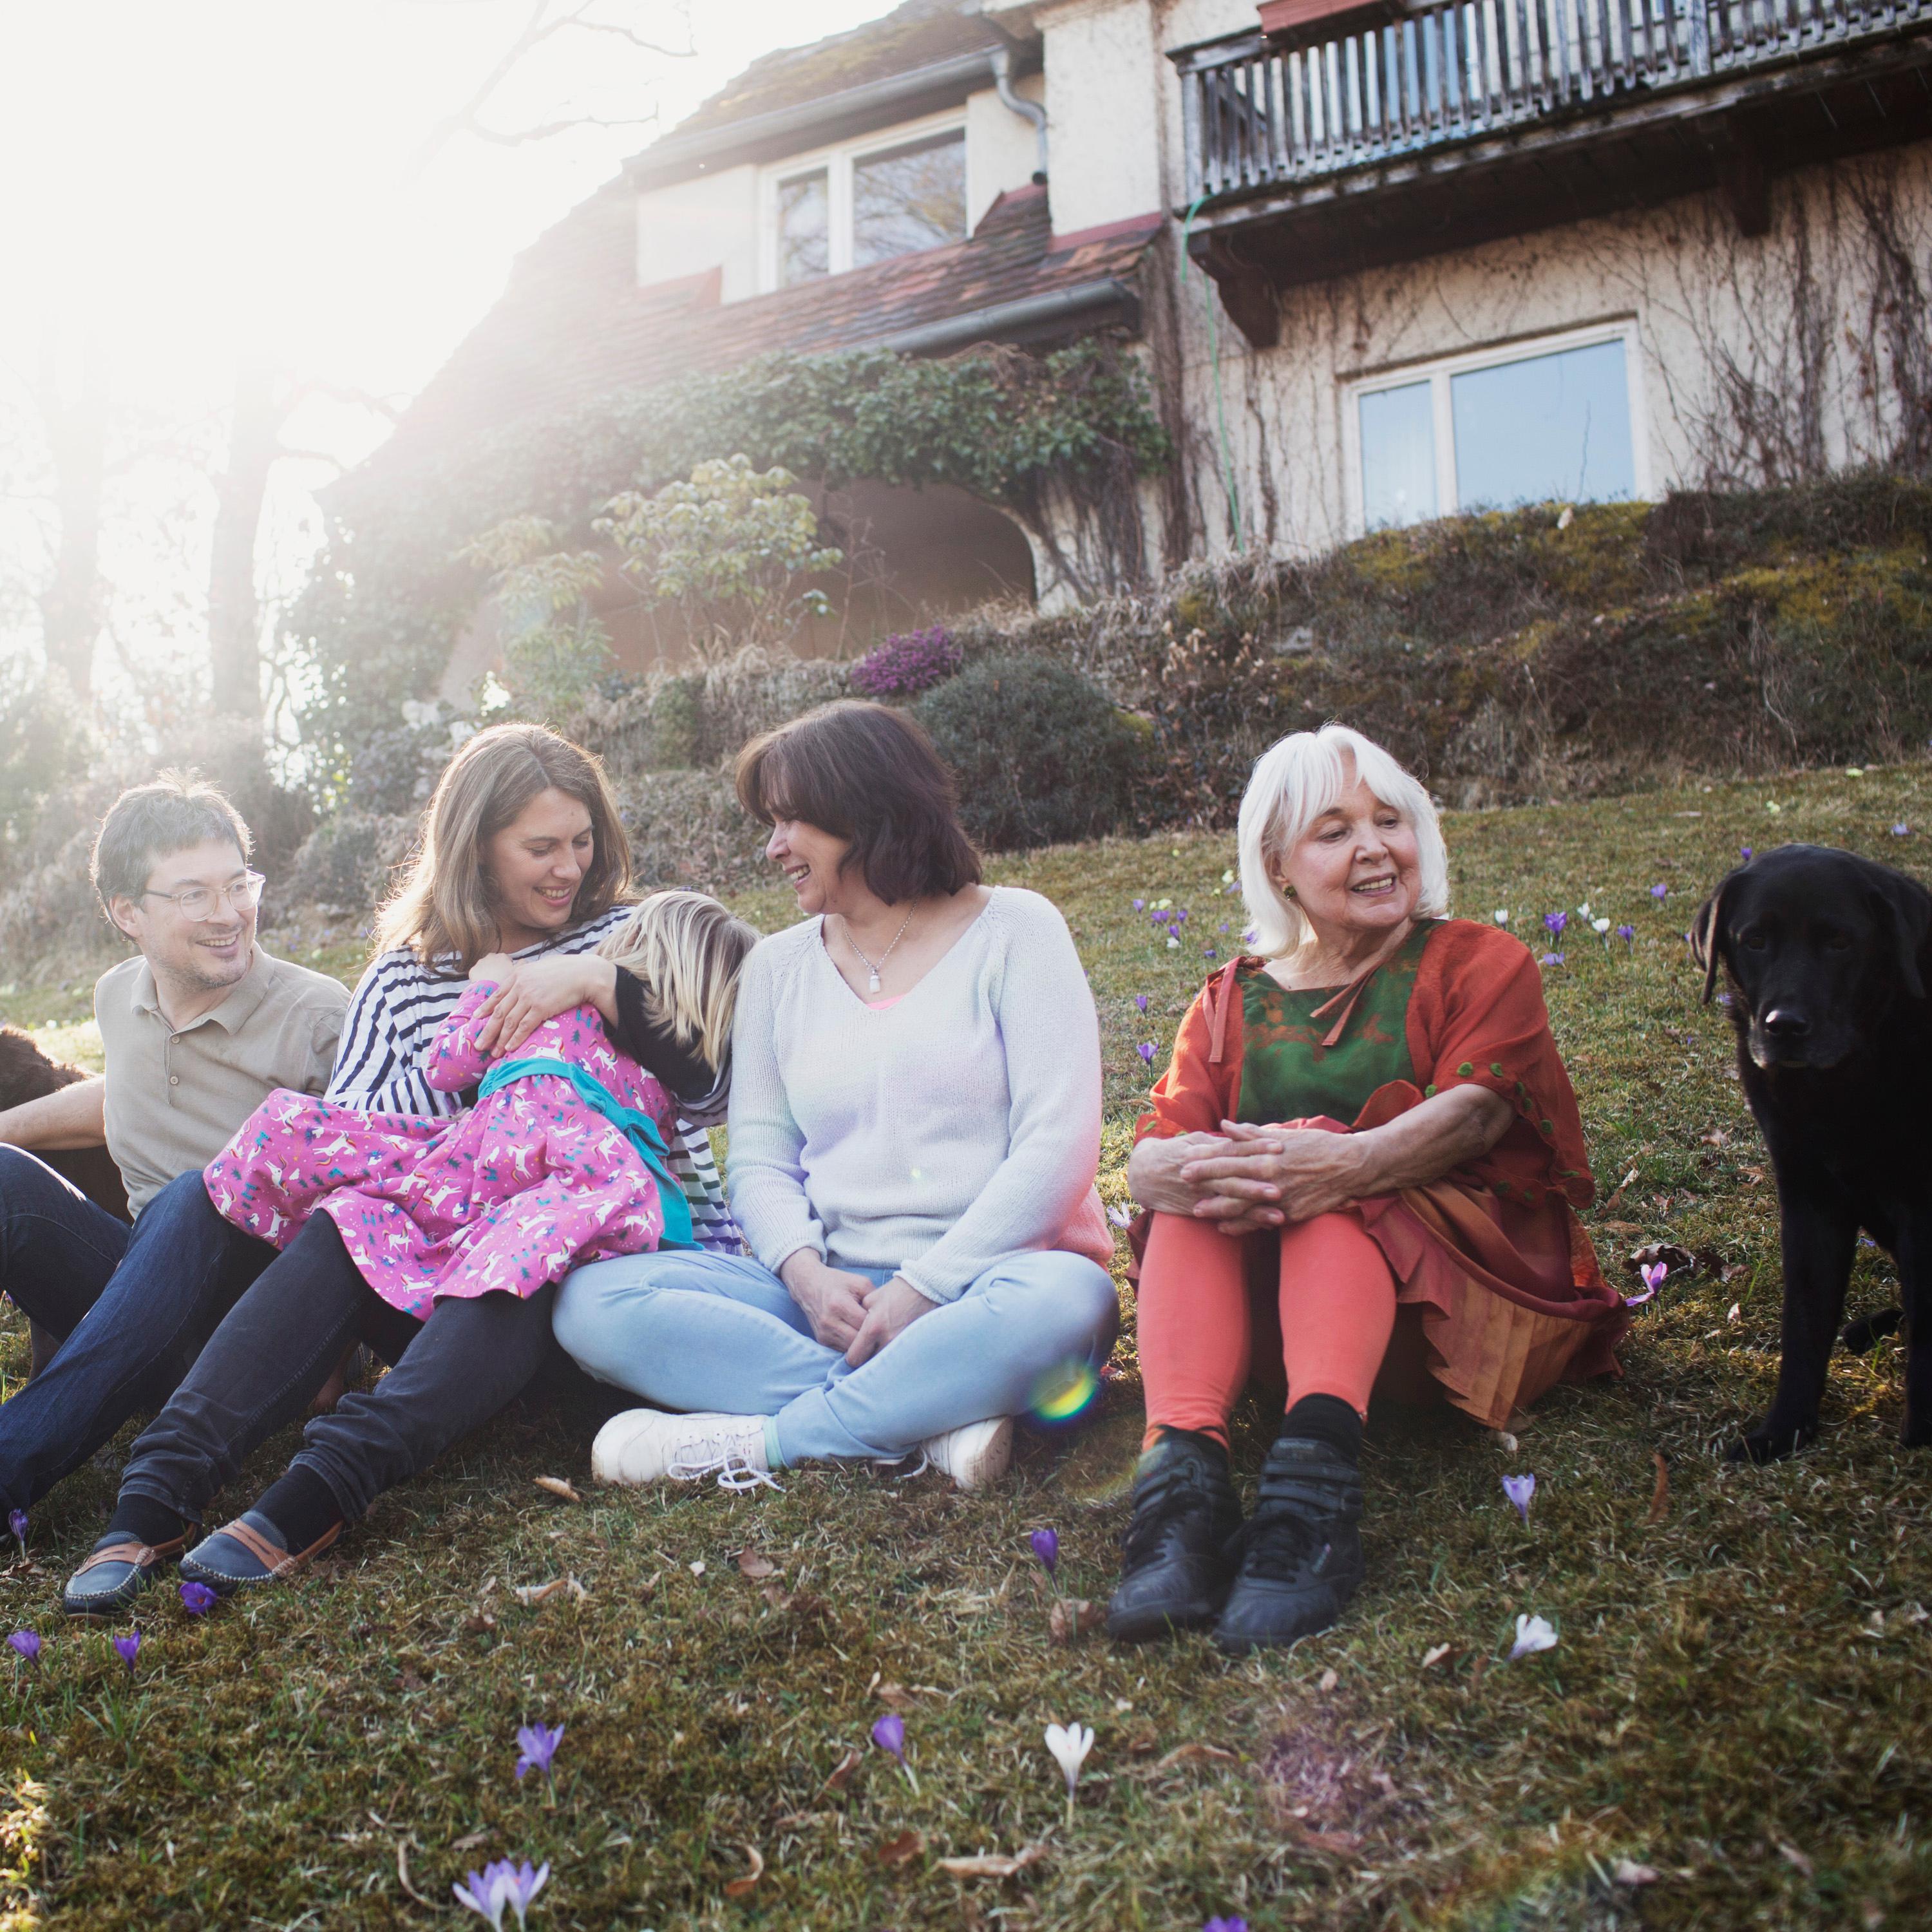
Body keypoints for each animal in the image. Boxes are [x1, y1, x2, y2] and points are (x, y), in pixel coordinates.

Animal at [1692, 846, 1932, 1461]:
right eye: (1754, 940)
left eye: (1840, 942)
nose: (1785, 1027)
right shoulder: (1808, 1196)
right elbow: (1804, 1322)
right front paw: (1784, 1430)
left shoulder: (1922, 1205)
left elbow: (1929, 1328)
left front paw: (1924, 1433)